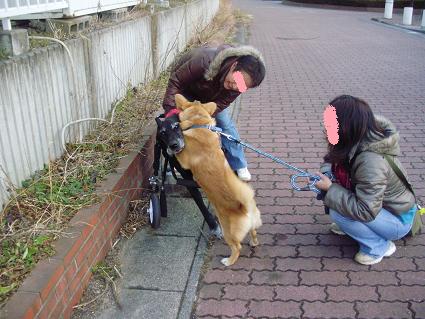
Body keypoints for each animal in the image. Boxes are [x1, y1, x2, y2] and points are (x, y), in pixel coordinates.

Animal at [173, 95, 262, 268]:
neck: (199, 123)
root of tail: (244, 209)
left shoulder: (184, 160)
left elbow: (178, 154)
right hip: (253, 225)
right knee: (254, 233)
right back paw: (253, 243)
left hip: (227, 232)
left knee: (237, 247)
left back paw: (228, 261)